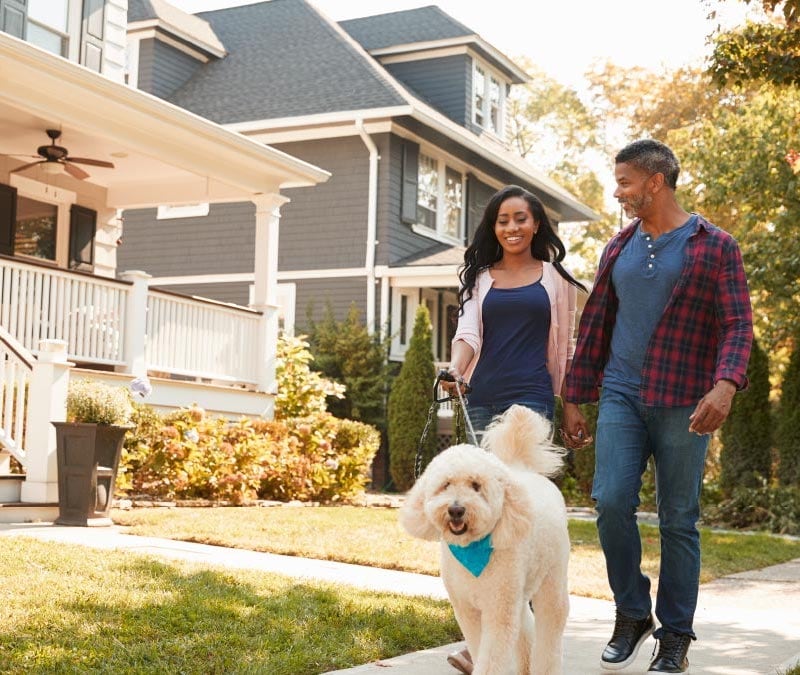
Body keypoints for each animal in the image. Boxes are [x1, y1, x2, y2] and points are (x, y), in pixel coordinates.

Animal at [398, 404, 568, 672]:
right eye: (446, 485)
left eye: (476, 485)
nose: (456, 510)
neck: (471, 549)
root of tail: (522, 469)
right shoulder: (467, 609)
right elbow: (479, 648)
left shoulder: (497, 611)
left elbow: (492, 659)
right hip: (518, 592)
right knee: (525, 624)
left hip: (552, 579)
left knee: (550, 629)